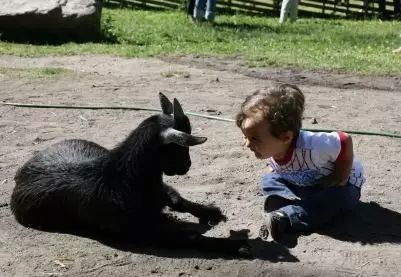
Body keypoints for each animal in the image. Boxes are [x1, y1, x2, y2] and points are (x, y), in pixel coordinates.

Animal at [10, 92, 245, 252]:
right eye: (177, 147)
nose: (187, 165)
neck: (123, 178)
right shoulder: (145, 230)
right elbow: (190, 237)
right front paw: (234, 246)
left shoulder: (161, 192)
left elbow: (178, 200)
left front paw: (211, 212)